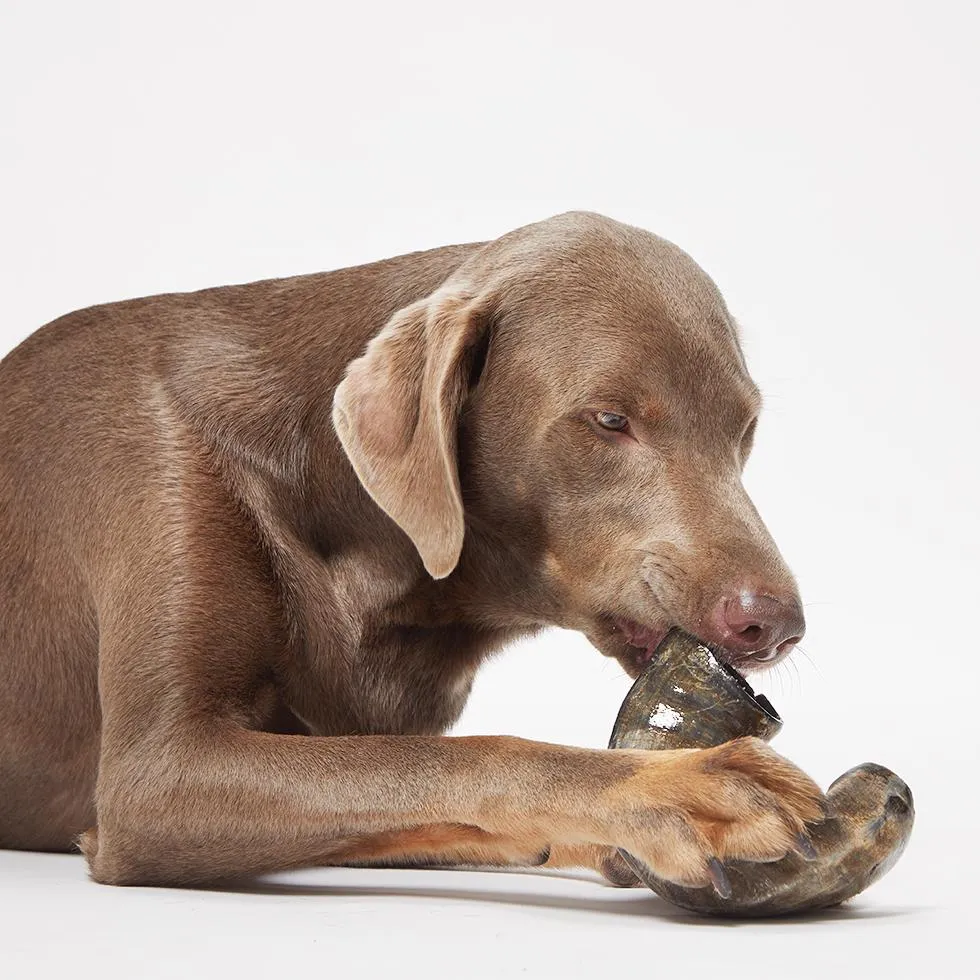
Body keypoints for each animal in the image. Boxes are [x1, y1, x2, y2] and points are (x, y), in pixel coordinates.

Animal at [0, 212, 824, 888]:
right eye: (611, 419)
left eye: (744, 429)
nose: (776, 625)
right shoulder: (156, 771)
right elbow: (475, 755)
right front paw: (675, 788)